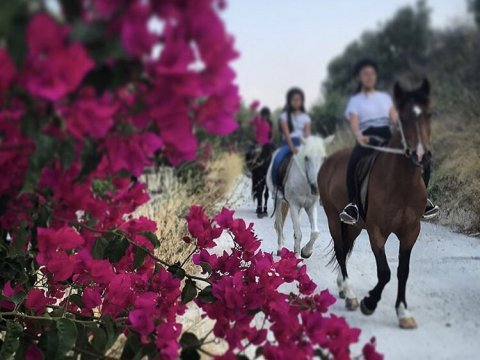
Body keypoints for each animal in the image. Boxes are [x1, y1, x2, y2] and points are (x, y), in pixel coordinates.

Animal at [318, 76, 432, 330]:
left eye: (429, 115)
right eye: (404, 118)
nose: (421, 155)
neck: (401, 183)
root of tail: (328, 161)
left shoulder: (411, 231)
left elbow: (403, 271)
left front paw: (403, 312)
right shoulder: (377, 230)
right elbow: (385, 272)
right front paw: (369, 302)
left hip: (354, 226)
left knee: (345, 250)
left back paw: (343, 289)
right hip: (333, 218)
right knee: (340, 250)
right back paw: (351, 296)